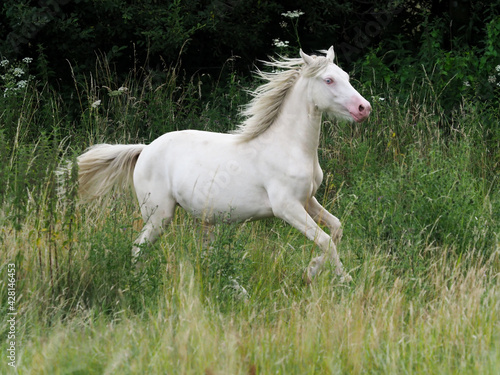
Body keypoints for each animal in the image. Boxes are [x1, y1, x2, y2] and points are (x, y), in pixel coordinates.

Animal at [76, 46, 370, 282]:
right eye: (328, 80)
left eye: (346, 76)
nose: (364, 108)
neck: (288, 146)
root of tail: (145, 149)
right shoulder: (287, 207)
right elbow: (325, 241)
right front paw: (342, 280)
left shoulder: (307, 200)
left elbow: (336, 229)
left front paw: (311, 271)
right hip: (159, 215)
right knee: (139, 248)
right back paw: (139, 284)